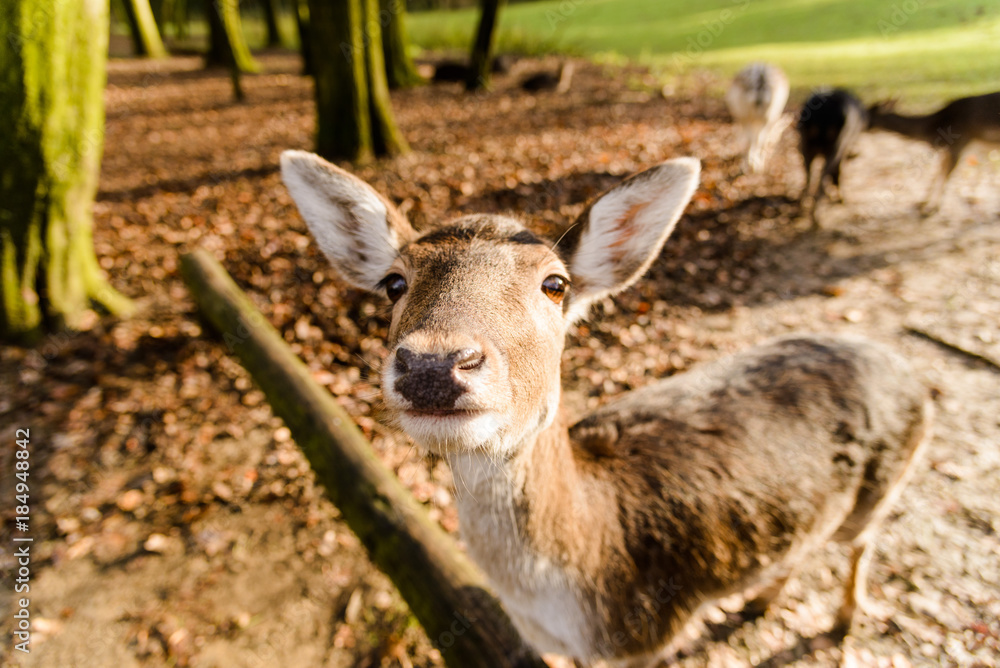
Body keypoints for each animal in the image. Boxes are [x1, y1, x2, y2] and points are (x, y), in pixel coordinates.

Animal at [284, 151, 936, 668]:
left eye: (555, 284)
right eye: (393, 283)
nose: (434, 365)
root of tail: (908, 371)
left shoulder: (649, 635)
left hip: (884, 488)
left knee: (861, 543)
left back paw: (844, 620)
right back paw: (758, 601)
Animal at [796, 88, 868, 227]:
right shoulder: (845, 147)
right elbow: (840, 170)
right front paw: (842, 198)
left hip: (804, 143)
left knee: (808, 173)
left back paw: (804, 206)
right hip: (836, 144)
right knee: (823, 174)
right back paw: (817, 217)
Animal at [868, 91, 1000, 215]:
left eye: (869, 114)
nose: (866, 128)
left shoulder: (959, 144)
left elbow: (944, 174)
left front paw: (930, 209)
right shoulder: (947, 149)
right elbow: (938, 171)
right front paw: (922, 203)